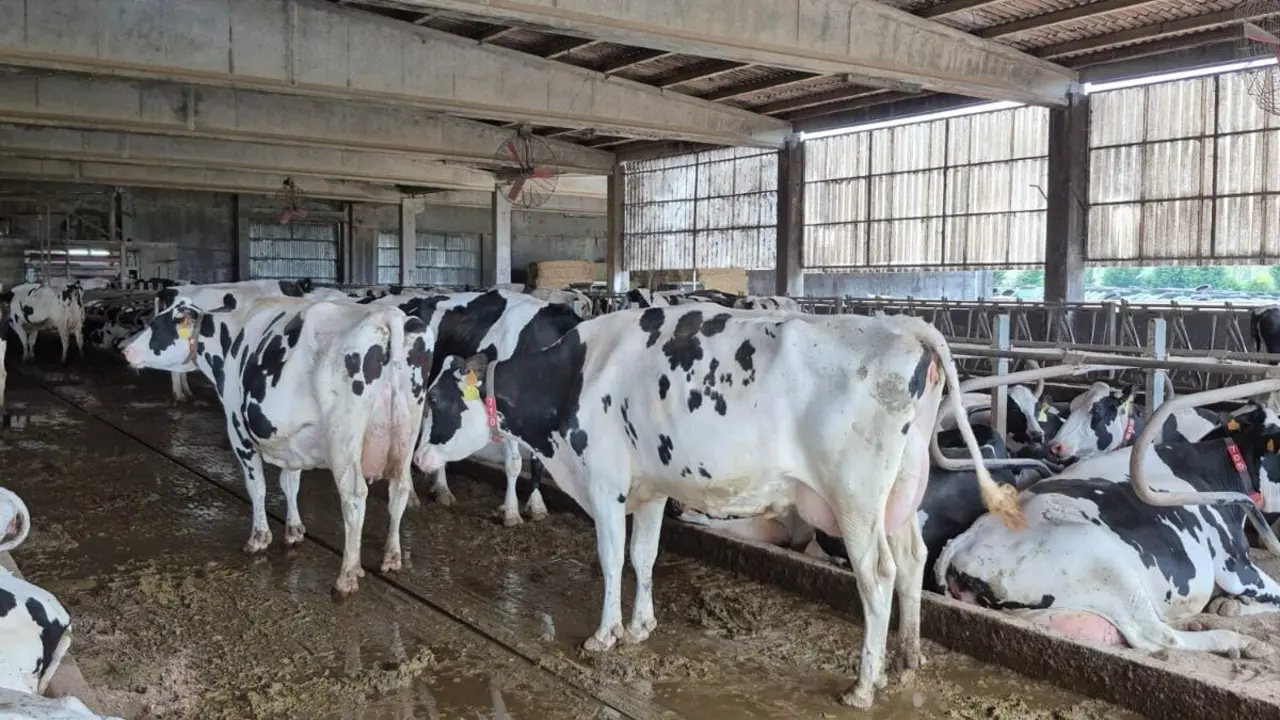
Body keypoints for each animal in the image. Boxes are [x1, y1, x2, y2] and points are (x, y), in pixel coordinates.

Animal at [123, 295, 433, 595]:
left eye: (155, 325)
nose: (125, 350)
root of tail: (386, 315)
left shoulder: (239, 432)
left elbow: (257, 487)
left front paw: (259, 537)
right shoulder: (291, 441)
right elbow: (290, 484)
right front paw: (294, 530)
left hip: (343, 439)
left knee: (355, 497)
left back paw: (347, 576)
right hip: (406, 431)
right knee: (399, 489)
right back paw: (392, 557)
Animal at [395, 290, 584, 525]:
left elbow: (538, 462)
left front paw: (537, 505)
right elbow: (514, 464)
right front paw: (511, 511)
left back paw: (442, 489)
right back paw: (412, 494)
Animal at [414, 304, 1019, 708]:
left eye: (437, 401)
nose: (418, 459)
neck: (575, 380)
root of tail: (905, 326)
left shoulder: (606, 485)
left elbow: (611, 561)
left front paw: (603, 636)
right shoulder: (652, 488)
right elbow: (643, 557)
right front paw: (641, 627)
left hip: (855, 499)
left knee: (878, 577)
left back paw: (864, 685)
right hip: (902, 490)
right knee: (912, 560)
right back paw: (908, 658)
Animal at [937, 410, 1280, 658]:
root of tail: (963, 540)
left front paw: (1230, 605)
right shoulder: (1234, 565)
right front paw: (1236, 607)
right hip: (1108, 562)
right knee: (1158, 637)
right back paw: (1242, 643)